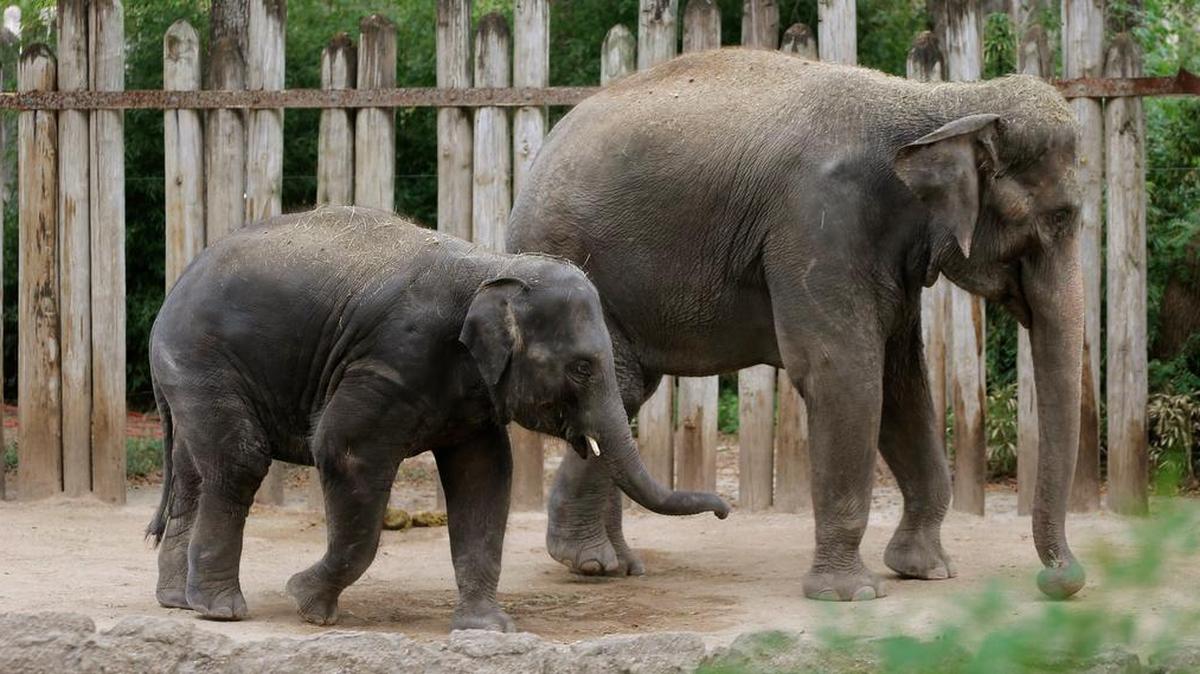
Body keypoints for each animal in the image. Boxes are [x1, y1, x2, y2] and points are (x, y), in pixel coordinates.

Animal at [145, 206, 730, 631]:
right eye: (582, 367)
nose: (724, 511)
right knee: (238, 462)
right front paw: (307, 604)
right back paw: (222, 610)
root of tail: (176, 286)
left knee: (195, 473)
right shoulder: (392, 359)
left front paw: (487, 628)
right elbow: (342, 450)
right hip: (202, 360)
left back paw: (180, 602)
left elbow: (484, 477)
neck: (493, 267)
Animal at [507, 49, 1086, 601]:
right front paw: (851, 595)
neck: (941, 102)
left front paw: (926, 571)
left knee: (621, 394)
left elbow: (901, 382)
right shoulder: (820, 222)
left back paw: (612, 565)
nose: (1061, 580)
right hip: (575, 260)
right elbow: (844, 375)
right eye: (1062, 216)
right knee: (620, 389)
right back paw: (589, 561)